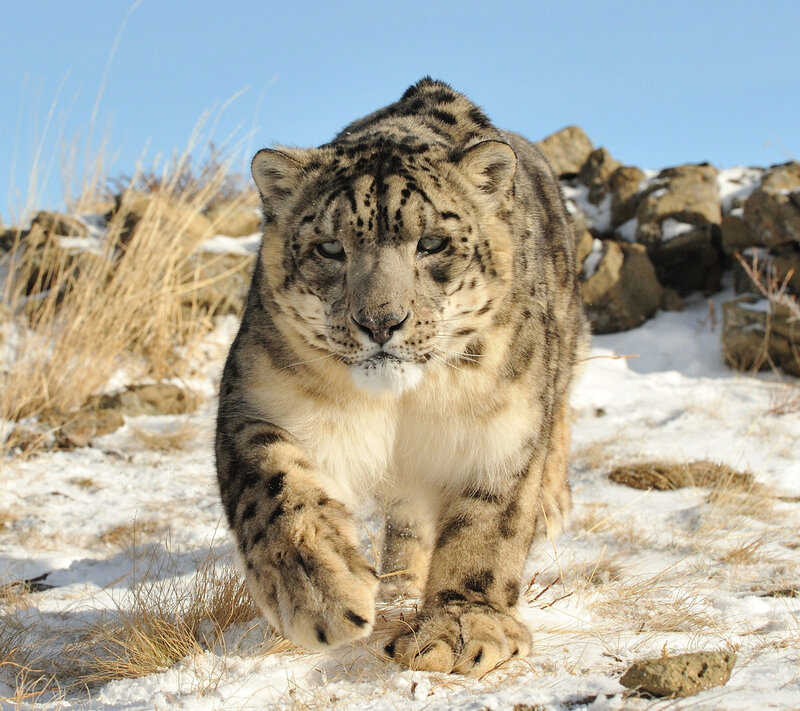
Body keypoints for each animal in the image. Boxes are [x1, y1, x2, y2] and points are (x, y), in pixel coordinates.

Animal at [215, 77, 588, 676]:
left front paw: (461, 627)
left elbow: (489, 526)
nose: (380, 322)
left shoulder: (503, 427)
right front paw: (321, 593)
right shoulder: (260, 398)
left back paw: (550, 506)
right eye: (329, 247)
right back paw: (395, 585)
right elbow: (275, 486)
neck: (404, 404)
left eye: (432, 243)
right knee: (407, 516)